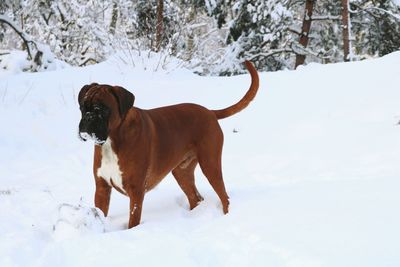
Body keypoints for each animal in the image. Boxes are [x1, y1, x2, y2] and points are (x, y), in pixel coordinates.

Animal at [78, 60, 260, 228]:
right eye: (82, 107)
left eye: (102, 109)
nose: (87, 117)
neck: (112, 139)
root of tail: (209, 112)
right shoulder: (102, 190)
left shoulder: (136, 192)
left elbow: (133, 222)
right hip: (182, 172)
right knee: (195, 198)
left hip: (210, 166)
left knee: (224, 197)